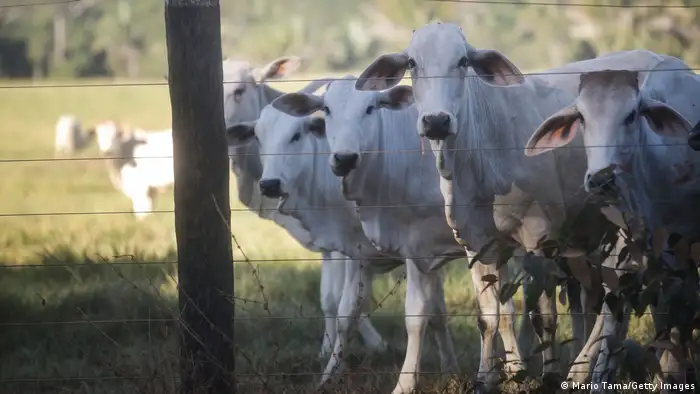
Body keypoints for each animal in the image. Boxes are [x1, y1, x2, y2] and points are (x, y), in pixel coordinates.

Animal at [270, 75, 528, 392]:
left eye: (370, 108)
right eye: (327, 110)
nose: (344, 158)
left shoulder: (423, 247)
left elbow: (421, 316)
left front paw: (409, 382)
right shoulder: (360, 254)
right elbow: (347, 314)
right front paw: (328, 378)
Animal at [528, 59, 700, 390]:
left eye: (631, 115)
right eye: (581, 117)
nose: (601, 179)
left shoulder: (679, 274)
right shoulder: (623, 276)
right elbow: (606, 356)